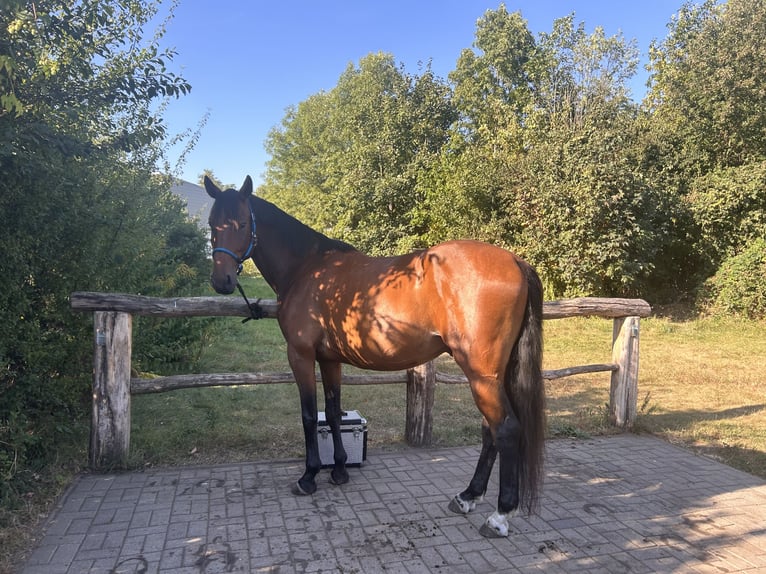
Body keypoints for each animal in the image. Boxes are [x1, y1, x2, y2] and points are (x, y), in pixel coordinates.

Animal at [204, 176, 544, 540]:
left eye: (241, 223)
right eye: (211, 224)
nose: (221, 281)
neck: (308, 268)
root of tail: (516, 262)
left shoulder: (301, 355)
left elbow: (309, 416)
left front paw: (309, 477)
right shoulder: (330, 359)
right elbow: (333, 412)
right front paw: (339, 470)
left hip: (481, 374)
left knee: (505, 429)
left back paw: (499, 516)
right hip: (494, 375)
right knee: (489, 430)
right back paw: (467, 496)